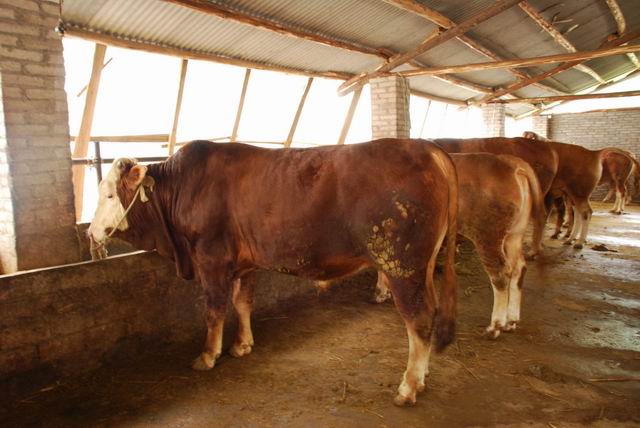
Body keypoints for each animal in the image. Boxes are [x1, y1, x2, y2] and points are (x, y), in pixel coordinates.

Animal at [90, 139, 458, 406]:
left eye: (108, 194)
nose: (91, 233)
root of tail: (426, 147)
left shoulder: (211, 259)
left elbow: (214, 310)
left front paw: (208, 355)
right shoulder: (244, 263)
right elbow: (242, 303)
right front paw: (242, 345)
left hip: (402, 265)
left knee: (418, 320)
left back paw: (408, 387)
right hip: (422, 266)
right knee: (429, 314)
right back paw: (421, 378)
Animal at [376, 152, 544, 340]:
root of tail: (514, 163)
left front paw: (381, 291)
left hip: (488, 236)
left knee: (500, 274)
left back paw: (495, 326)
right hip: (514, 235)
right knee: (518, 268)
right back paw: (511, 321)